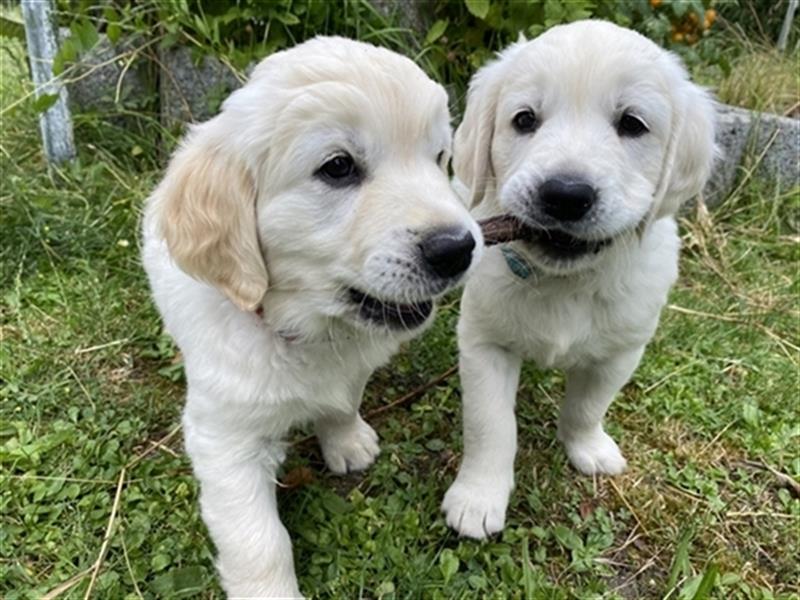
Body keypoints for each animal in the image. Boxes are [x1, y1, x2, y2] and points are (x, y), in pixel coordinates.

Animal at [141, 36, 484, 596]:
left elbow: (344, 399)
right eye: (338, 167)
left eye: (440, 158)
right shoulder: (226, 438)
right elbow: (259, 542)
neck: (305, 325)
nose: (457, 249)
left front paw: (346, 440)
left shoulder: (353, 363)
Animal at [444, 21, 720, 540]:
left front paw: (588, 448)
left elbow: (587, 406)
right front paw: (477, 497)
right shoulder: (485, 343)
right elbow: (491, 426)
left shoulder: (622, 350)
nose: (565, 194)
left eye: (632, 124)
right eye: (524, 120)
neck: (567, 280)